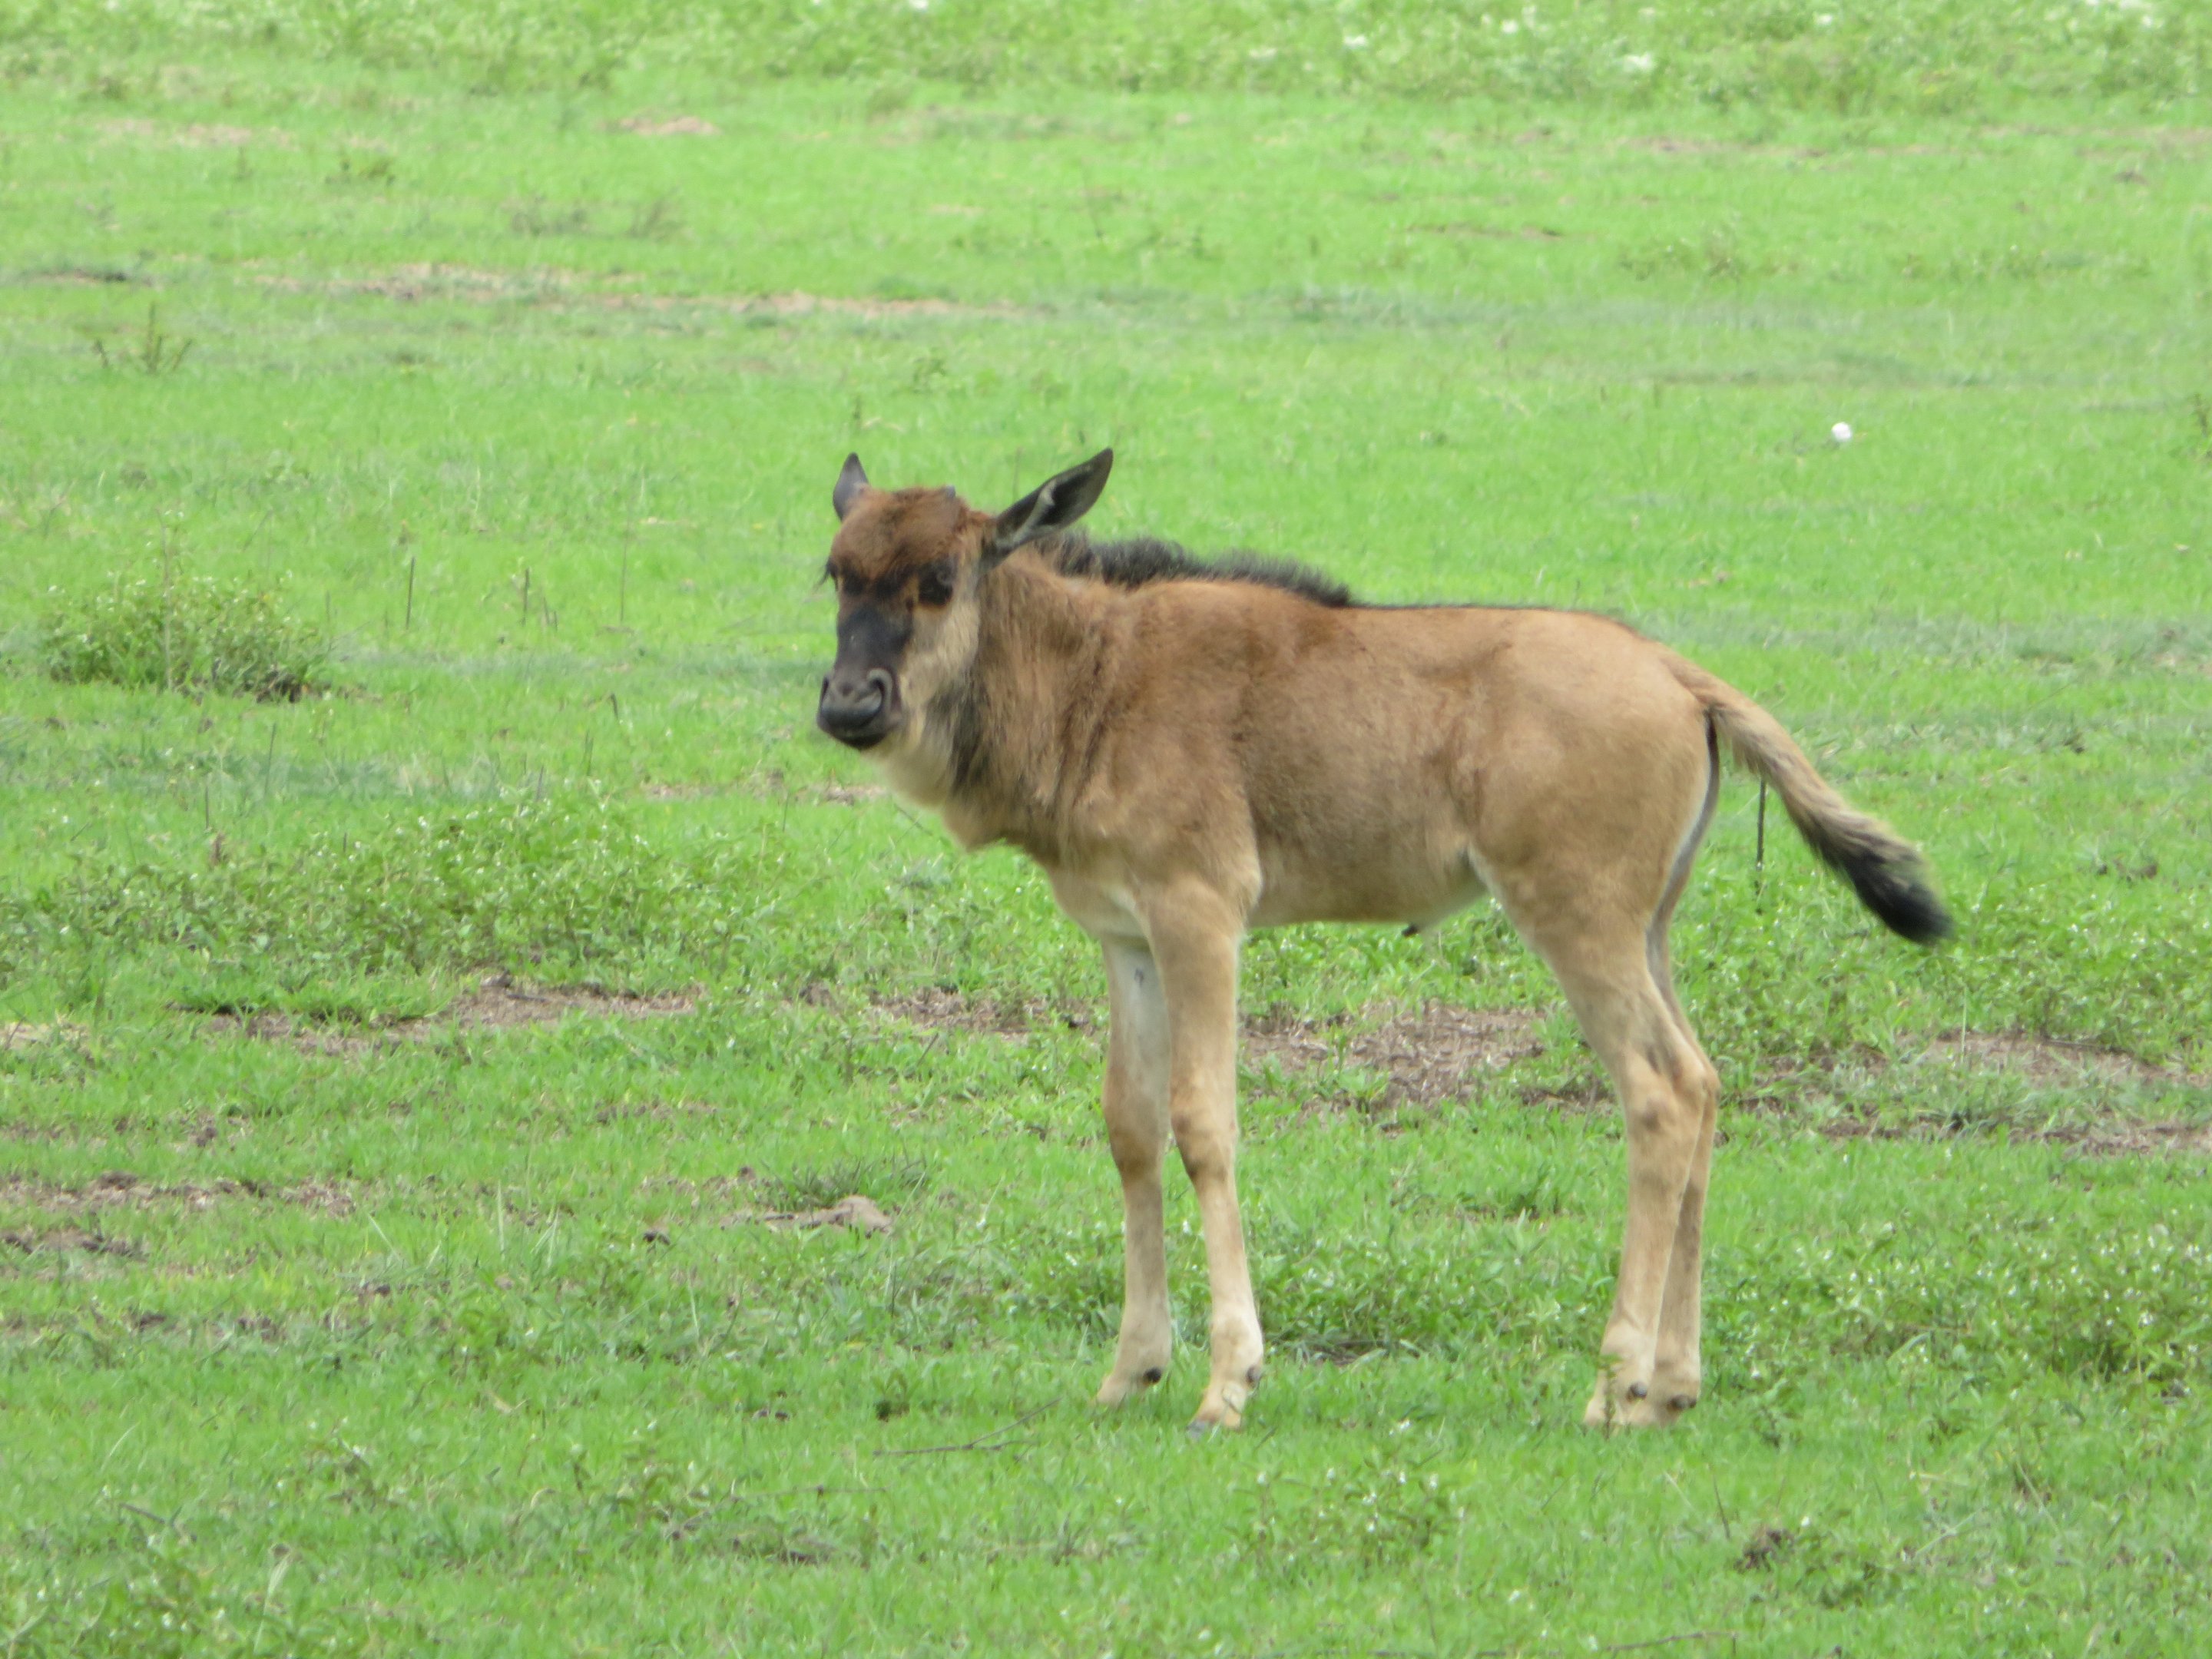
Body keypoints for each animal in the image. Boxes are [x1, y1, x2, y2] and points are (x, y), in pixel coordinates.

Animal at [816, 449, 1949, 1433]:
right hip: (1648, 934)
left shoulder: (1201, 919)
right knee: (1706, 1087)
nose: (849, 702)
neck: (1097, 670)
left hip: (1577, 925)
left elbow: (1203, 1123)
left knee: (1661, 1094)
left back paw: (1615, 1387)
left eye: (940, 580)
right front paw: (1130, 1370)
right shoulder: (1126, 940)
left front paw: (1228, 1382)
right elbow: (1132, 1129)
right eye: (836, 573)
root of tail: (1681, 677)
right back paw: (1672, 1386)